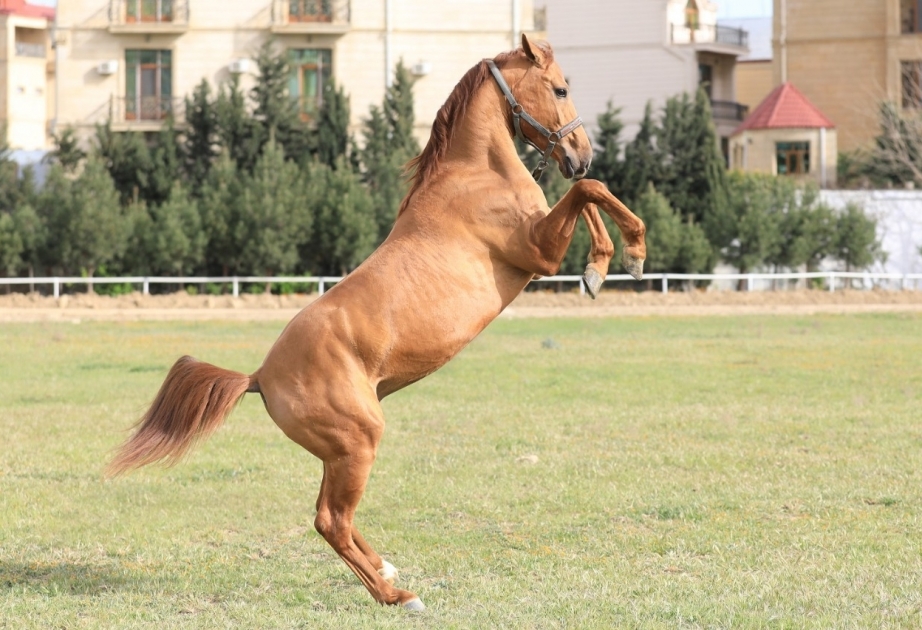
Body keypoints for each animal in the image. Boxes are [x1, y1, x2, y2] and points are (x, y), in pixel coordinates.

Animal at [107, 34, 647, 611]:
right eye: (560, 88)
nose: (580, 154)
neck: (476, 176)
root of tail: (259, 377)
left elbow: (586, 195)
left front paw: (601, 269)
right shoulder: (537, 252)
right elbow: (590, 193)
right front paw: (624, 256)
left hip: (338, 452)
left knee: (330, 517)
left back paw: (388, 571)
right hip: (359, 442)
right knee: (331, 521)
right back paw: (398, 595)